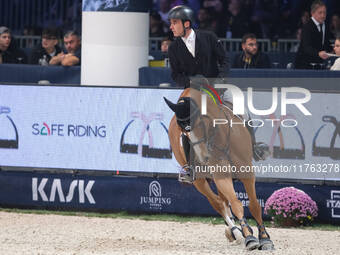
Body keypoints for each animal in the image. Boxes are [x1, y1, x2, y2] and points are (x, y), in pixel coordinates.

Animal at [166, 87, 274, 251]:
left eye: (200, 123)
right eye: (182, 130)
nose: (203, 157)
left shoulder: (246, 170)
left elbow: (254, 204)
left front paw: (264, 238)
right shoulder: (220, 175)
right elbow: (235, 204)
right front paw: (248, 237)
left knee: (223, 200)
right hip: (199, 181)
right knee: (218, 203)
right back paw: (236, 233)